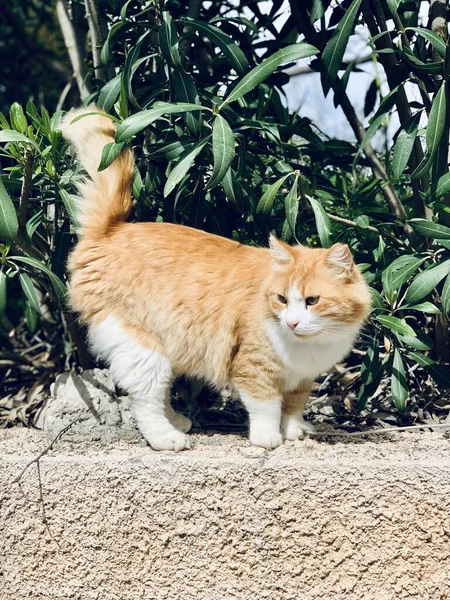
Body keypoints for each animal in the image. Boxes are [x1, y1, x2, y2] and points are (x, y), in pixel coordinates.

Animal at [61, 106, 370, 450]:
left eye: (312, 301)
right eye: (281, 299)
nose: (291, 323)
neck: (310, 345)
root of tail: (113, 230)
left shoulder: (302, 378)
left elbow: (293, 406)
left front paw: (293, 430)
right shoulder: (254, 368)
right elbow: (266, 407)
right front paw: (268, 438)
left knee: (161, 394)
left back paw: (179, 422)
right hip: (143, 349)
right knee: (145, 401)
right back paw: (167, 437)